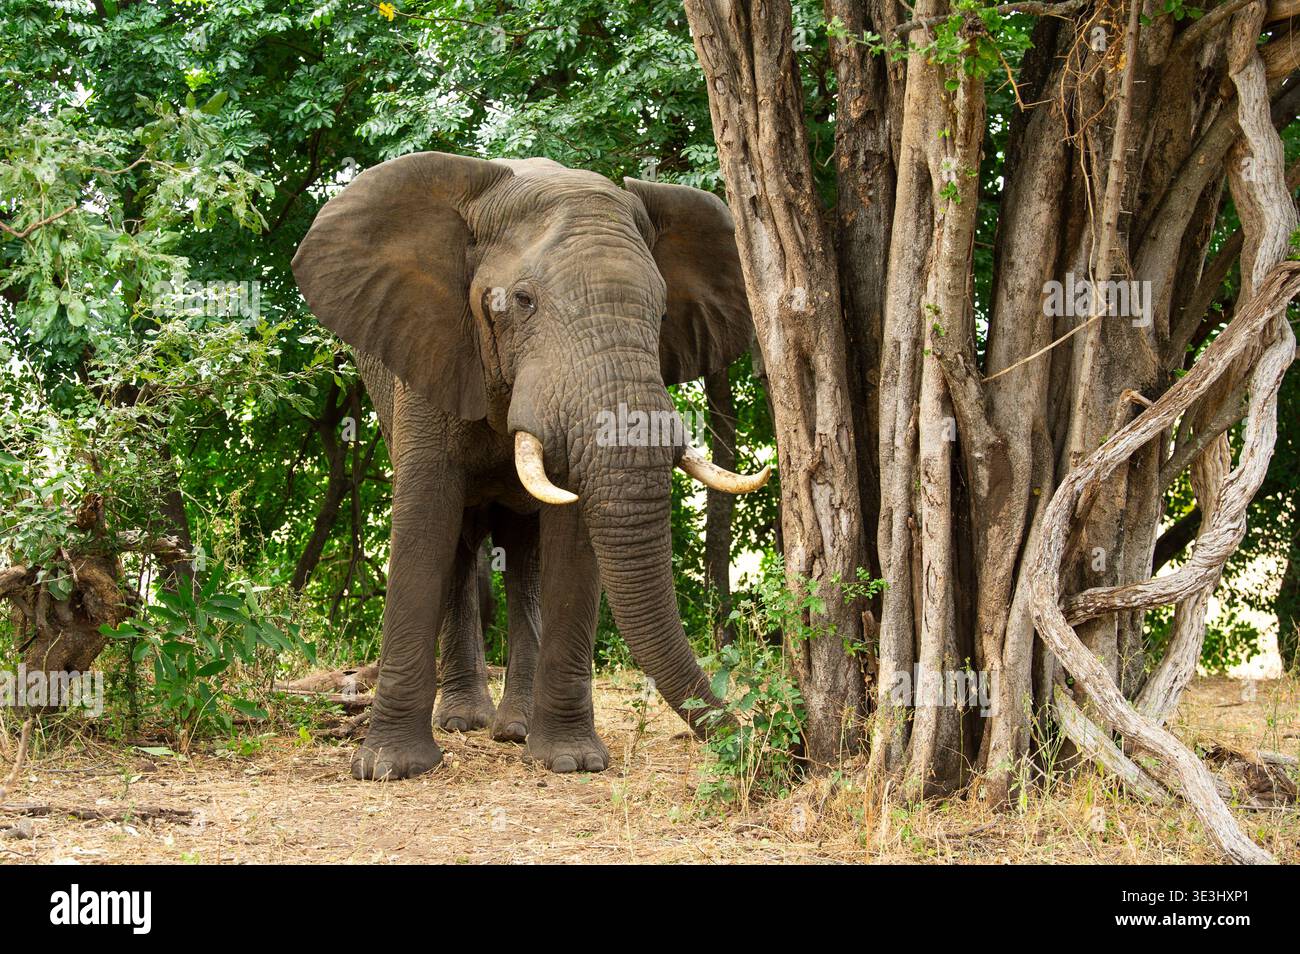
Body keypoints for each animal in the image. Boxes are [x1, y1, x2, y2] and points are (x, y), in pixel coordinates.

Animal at [292, 151, 769, 780]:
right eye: (522, 301)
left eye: (663, 309)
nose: (764, 743)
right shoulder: (431, 348)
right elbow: (424, 520)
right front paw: (389, 769)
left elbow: (572, 539)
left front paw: (570, 762)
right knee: (462, 545)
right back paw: (463, 722)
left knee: (524, 553)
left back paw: (513, 729)